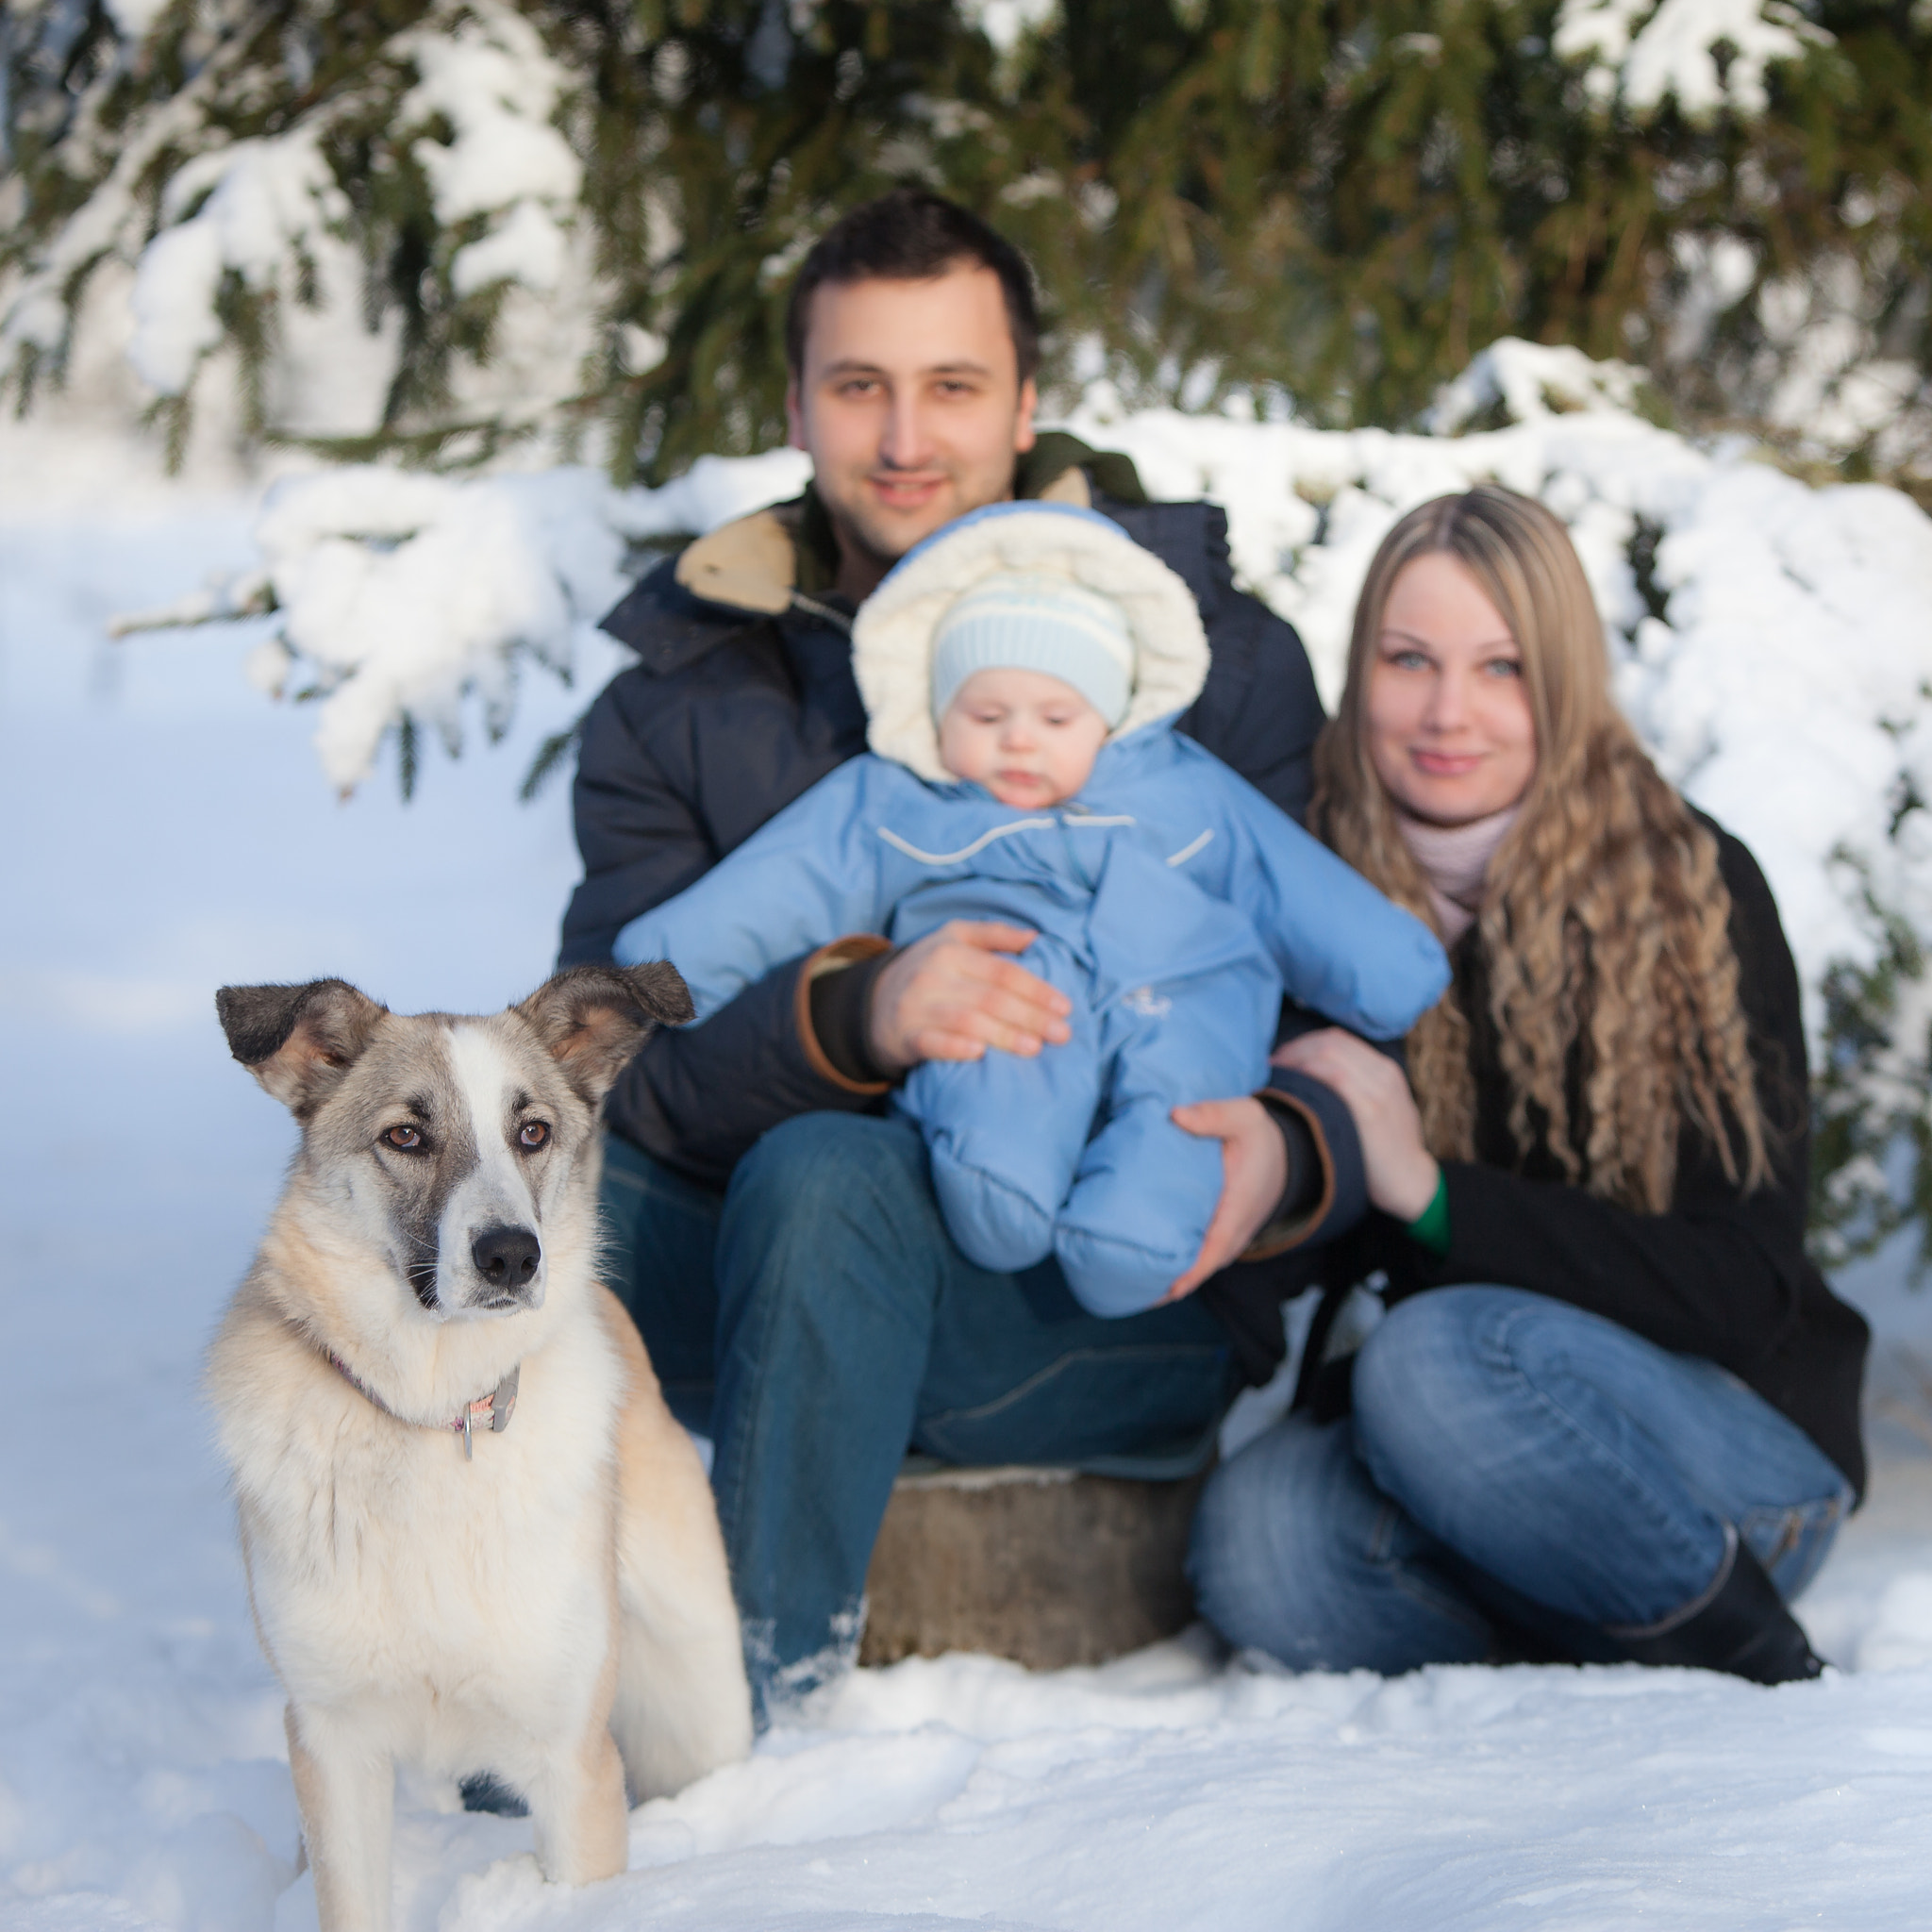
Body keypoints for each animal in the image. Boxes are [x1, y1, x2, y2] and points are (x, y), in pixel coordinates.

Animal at [208, 966, 749, 1932]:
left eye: (533, 1132)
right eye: (405, 1135)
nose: (511, 1257)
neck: (435, 1415)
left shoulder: (572, 1758)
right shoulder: (333, 1745)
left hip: (696, 1692)